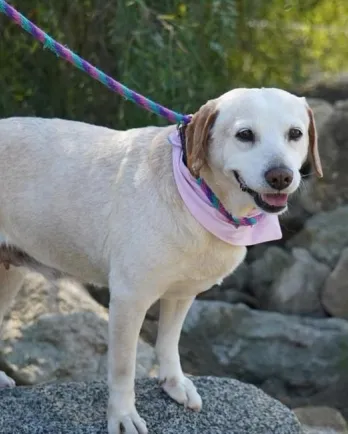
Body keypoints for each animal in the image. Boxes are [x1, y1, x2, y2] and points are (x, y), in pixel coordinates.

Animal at [0, 86, 320, 432]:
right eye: (245, 135)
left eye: (295, 134)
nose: (281, 176)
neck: (198, 195)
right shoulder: (129, 298)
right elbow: (123, 368)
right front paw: (123, 415)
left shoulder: (182, 293)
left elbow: (168, 341)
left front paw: (173, 383)